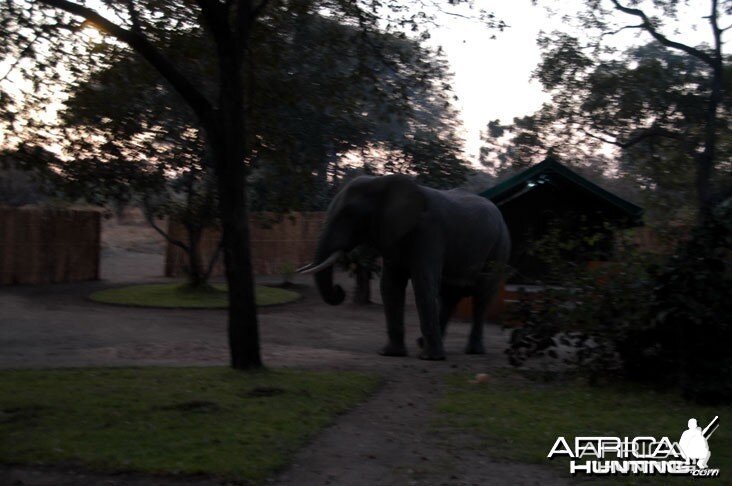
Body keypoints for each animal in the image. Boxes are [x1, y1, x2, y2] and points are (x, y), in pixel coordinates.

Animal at [298, 175, 508, 360]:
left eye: (348, 214)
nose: (339, 290)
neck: (382, 182)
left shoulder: (429, 232)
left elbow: (423, 283)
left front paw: (431, 359)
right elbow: (390, 286)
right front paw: (390, 354)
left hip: (499, 247)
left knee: (481, 296)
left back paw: (472, 351)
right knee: (450, 296)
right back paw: (423, 343)